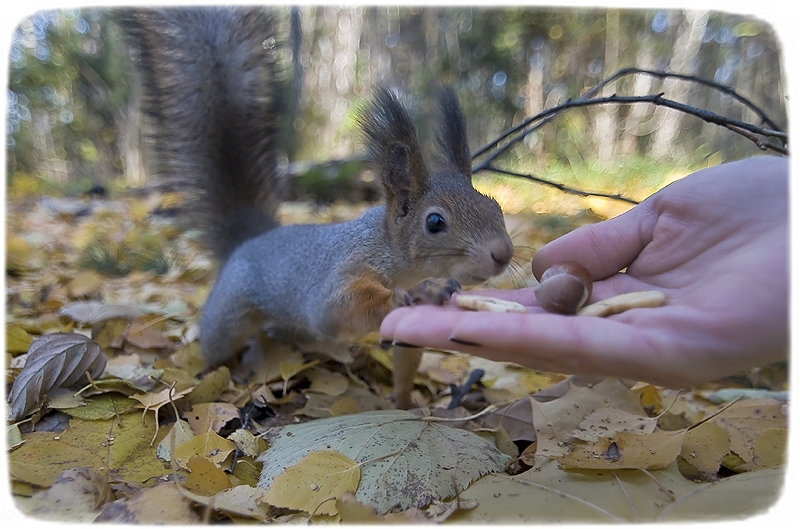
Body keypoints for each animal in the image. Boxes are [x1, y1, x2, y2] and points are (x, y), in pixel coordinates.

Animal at [122, 6, 516, 406]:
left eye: (496, 207)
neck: (392, 251)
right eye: (435, 222)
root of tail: (248, 243)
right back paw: (228, 371)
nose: (502, 253)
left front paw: (407, 403)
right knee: (218, 347)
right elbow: (336, 307)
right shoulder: (344, 268)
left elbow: (406, 363)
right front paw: (414, 294)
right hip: (228, 315)